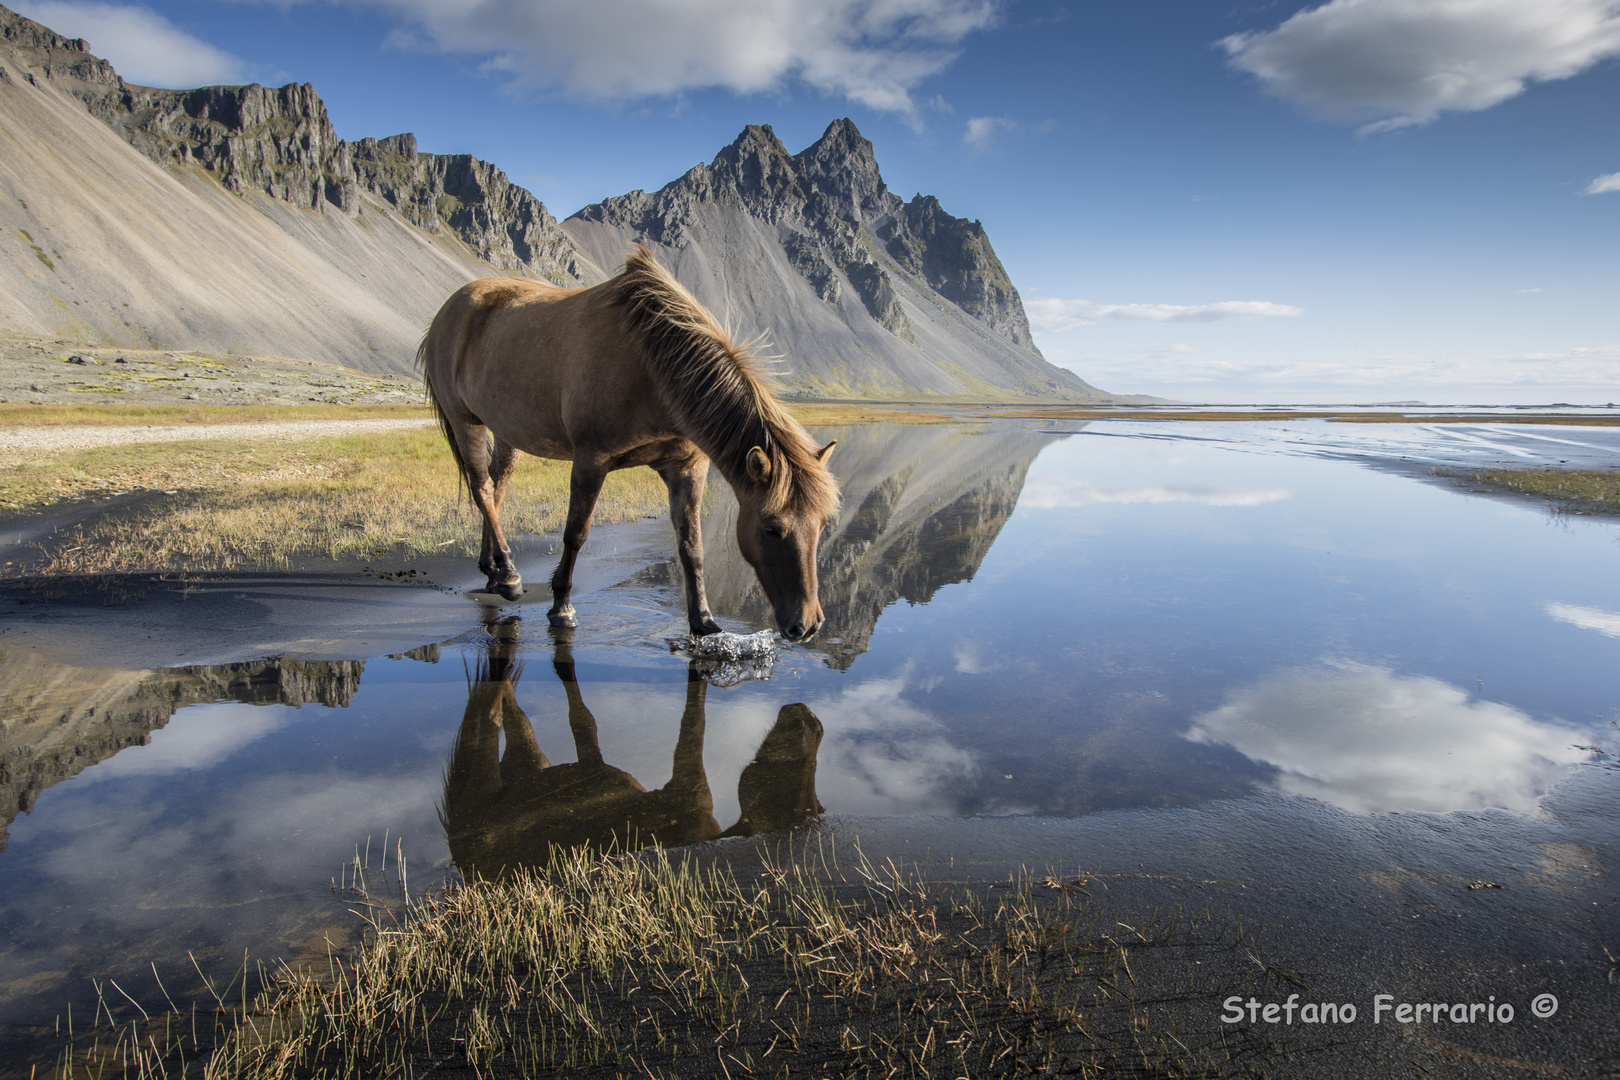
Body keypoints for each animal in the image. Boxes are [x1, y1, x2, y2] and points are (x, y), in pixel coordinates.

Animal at [421, 244, 835, 641]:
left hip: (507, 432)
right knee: (482, 488)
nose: (807, 625)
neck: (649, 363)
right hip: (465, 422)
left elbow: (692, 547)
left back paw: (493, 570)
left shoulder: (687, 468)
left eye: (822, 525)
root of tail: (448, 311)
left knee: (497, 486)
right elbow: (575, 534)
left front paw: (703, 621)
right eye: (771, 529)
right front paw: (562, 607)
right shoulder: (591, 460)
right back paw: (507, 575)